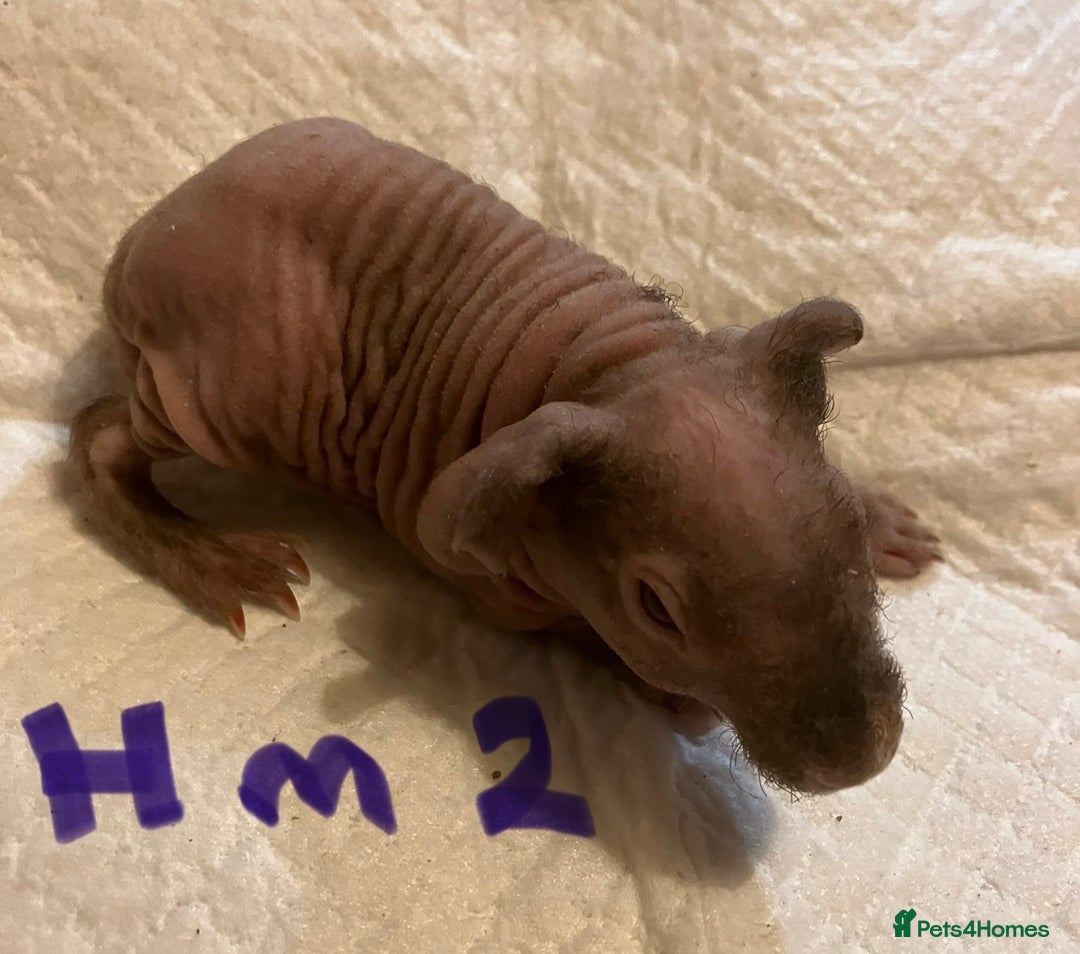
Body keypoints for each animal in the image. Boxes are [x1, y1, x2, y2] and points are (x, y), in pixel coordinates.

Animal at [70, 117, 941, 795]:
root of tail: (137, 241)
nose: (859, 762)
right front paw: (676, 700)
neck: (621, 366)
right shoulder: (498, 587)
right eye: (656, 610)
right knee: (101, 435)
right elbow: (587, 639)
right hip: (235, 383)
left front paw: (888, 517)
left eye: (846, 527)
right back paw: (209, 555)